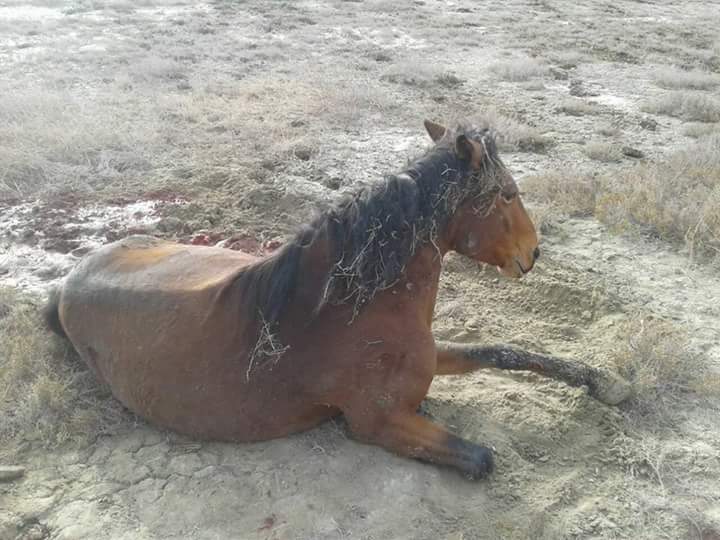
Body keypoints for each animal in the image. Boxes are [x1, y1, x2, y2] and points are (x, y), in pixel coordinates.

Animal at [44, 120, 630, 479]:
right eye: (507, 194)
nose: (534, 253)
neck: (359, 306)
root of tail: (69, 282)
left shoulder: (433, 357)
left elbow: (502, 351)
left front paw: (607, 383)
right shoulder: (376, 423)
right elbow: (481, 457)